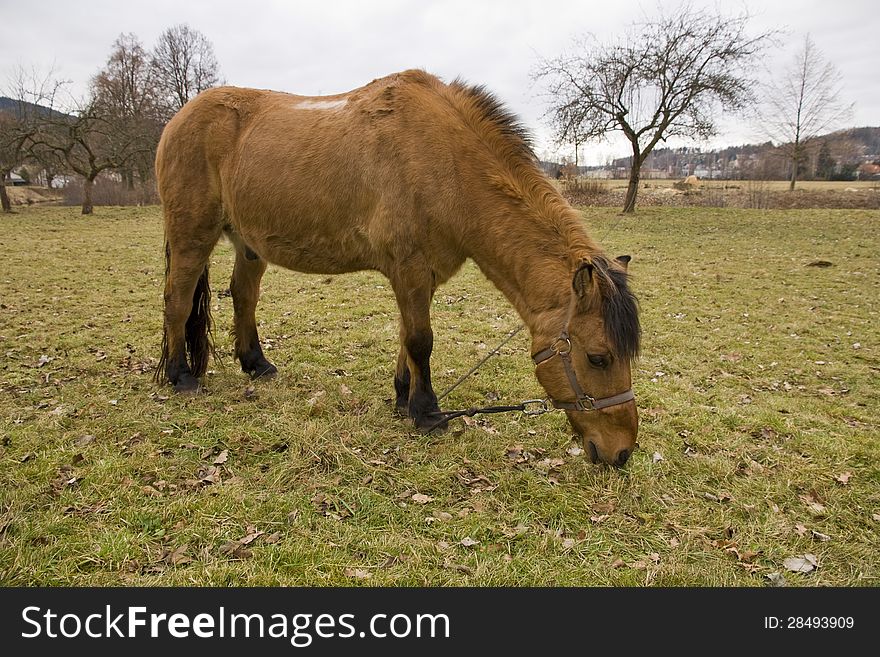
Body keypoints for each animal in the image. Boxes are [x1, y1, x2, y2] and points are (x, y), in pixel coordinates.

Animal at [156, 69, 640, 464]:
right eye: (598, 357)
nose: (621, 453)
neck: (443, 163)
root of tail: (178, 119)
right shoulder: (408, 269)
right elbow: (421, 341)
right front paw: (427, 413)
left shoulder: (422, 277)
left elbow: (407, 339)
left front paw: (403, 397)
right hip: (192, 236)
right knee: (177, 300)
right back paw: (181, 376)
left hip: (249, 245)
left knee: (243, 296)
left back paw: (256, 364)